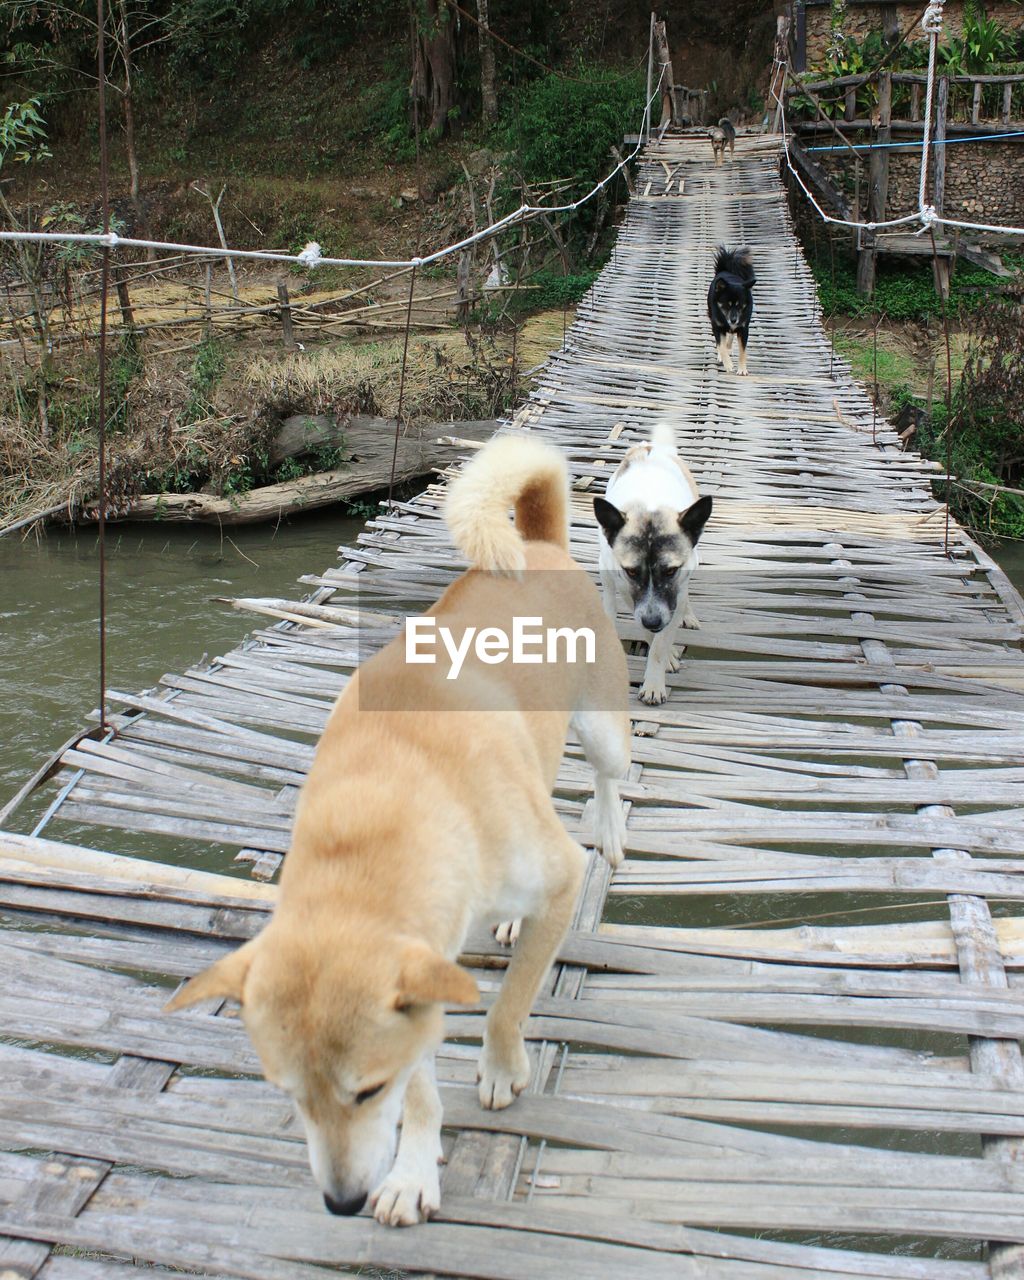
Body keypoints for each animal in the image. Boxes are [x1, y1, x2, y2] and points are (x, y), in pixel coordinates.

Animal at [165, 437, 627, 1228]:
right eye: (291, 1097)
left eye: (366, 1090)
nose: (341, 1203)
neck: (382, 806)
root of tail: (538, 543)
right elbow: (424, 1090)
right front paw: (412, 1172)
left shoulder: (558, 879)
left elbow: (508, 1008)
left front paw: (500, 1068)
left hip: (602, 731)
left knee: (606, 781)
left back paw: (614, 834)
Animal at [591, 427, 711, 711]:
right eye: (632, 571)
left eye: (670, 571)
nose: (654, 620)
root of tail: (647, 447)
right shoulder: (623, 584)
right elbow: (644, 628)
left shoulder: (674, 594)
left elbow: (660, 643)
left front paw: (655, 683)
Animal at [706, 244, 757, 373]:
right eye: (727, 305)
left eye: (740, 305)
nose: (733, 320)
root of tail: (725, 270)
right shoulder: (717, 327)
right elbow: (721, 346)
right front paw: (728, 364)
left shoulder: (743, 329)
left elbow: (743, 351)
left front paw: (742, 369)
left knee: (730, 337)